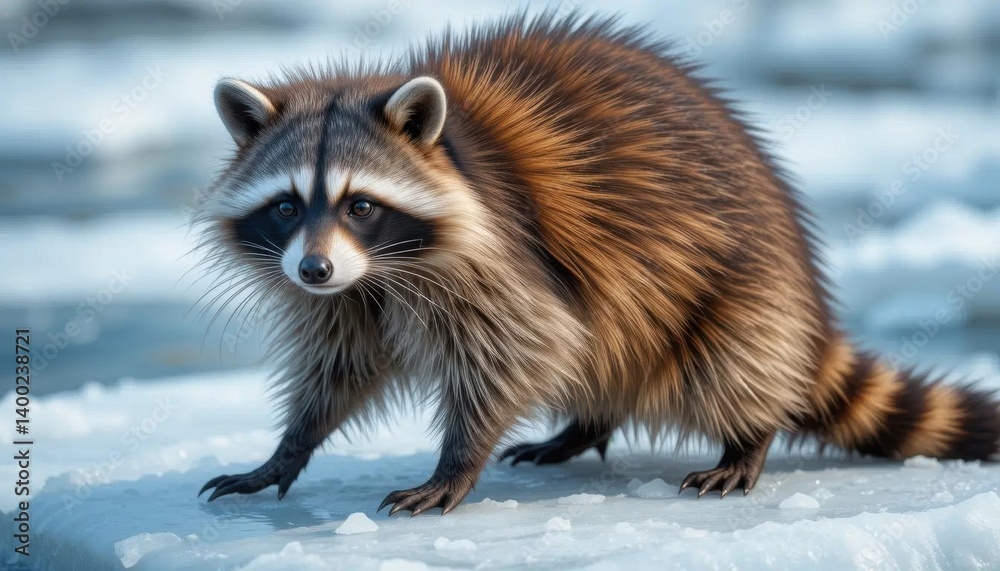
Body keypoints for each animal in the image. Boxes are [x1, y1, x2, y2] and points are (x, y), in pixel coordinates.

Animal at [195, 12, 1000, 515]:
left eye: (360, 204)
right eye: (287, 206)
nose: (313, 271)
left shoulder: (505, 257)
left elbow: (526, 345)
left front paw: (456, 460)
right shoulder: (348, 298)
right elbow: (340, 368)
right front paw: (287, 448)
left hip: (740, 283)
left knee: (722, 359)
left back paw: (748, 435)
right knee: (606, 347)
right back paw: (586, 423)